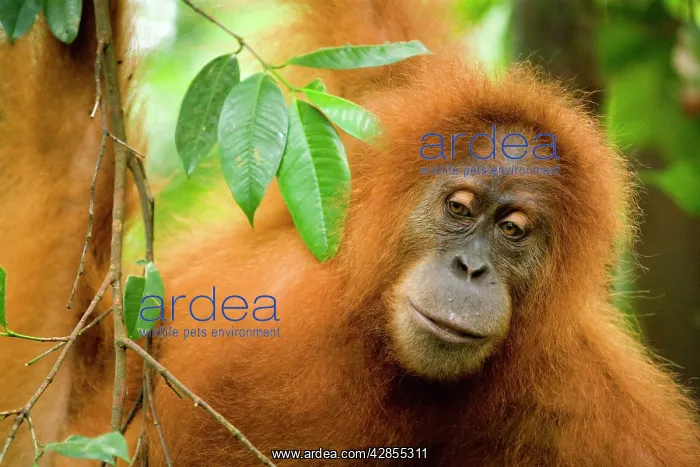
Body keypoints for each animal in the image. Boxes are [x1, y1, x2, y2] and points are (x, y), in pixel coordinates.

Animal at [1, 0, 700, 466]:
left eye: (514, 230)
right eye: (459, 207)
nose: (470, 268)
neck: (377, 341)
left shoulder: (588, 398)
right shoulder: (383, 111)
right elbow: (375, 21)